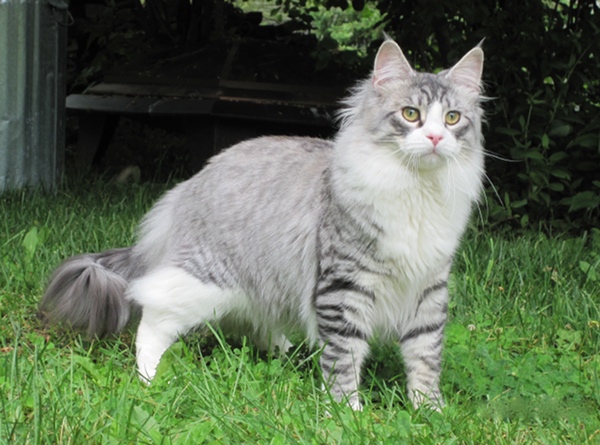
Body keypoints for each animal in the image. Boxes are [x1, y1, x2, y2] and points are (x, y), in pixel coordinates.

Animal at [39, 40, 486, 412]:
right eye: (411, 115)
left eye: (452, 118)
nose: (434, 138)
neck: (418, 191)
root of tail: (188, 187)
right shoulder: (345, 288)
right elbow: (345, 358)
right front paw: (349, 413)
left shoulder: (428, 290)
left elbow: (424, 357)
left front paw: (429, 411)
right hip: (204, 284)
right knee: (152, 316)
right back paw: (150, 378)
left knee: (256, 323)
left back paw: (289, 355)